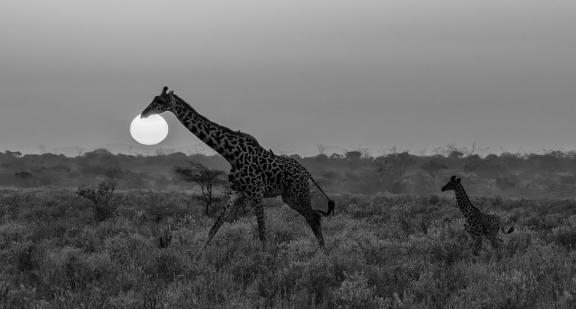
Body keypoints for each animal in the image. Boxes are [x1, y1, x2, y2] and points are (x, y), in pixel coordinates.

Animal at [141, 86, 336, 253]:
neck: (231, 154)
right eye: (154, 98)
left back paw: (323, 254)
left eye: (160, 101)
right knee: (314, 216)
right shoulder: (235, 192)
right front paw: (196, 259)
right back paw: (322, 252)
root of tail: (305, 171)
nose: (143, 114)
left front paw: (266, 261)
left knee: (314, 217)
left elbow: (262, 233)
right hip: (289, 197)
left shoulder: (256, 192)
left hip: (298, 192)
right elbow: (214, 228)